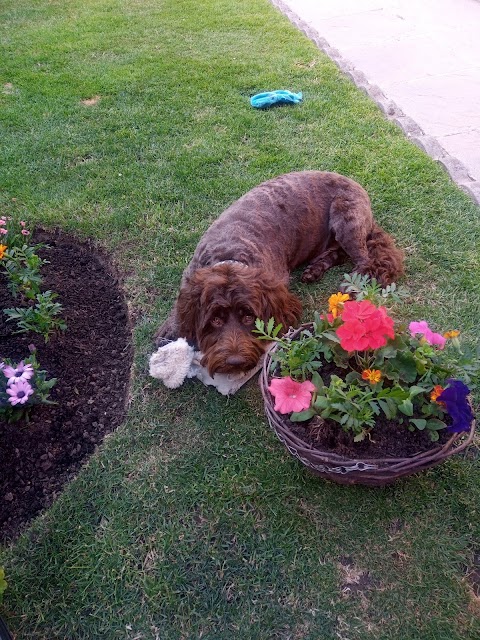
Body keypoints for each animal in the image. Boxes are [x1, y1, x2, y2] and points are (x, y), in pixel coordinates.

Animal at [156, 172, 404, 378]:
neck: (229, 254)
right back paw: (315, 270)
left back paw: (351, 283)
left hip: (347, 220)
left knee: (363, 258)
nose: (235, 362)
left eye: (248, 317)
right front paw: (170, 329)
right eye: (215, 320)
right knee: (338, 254)